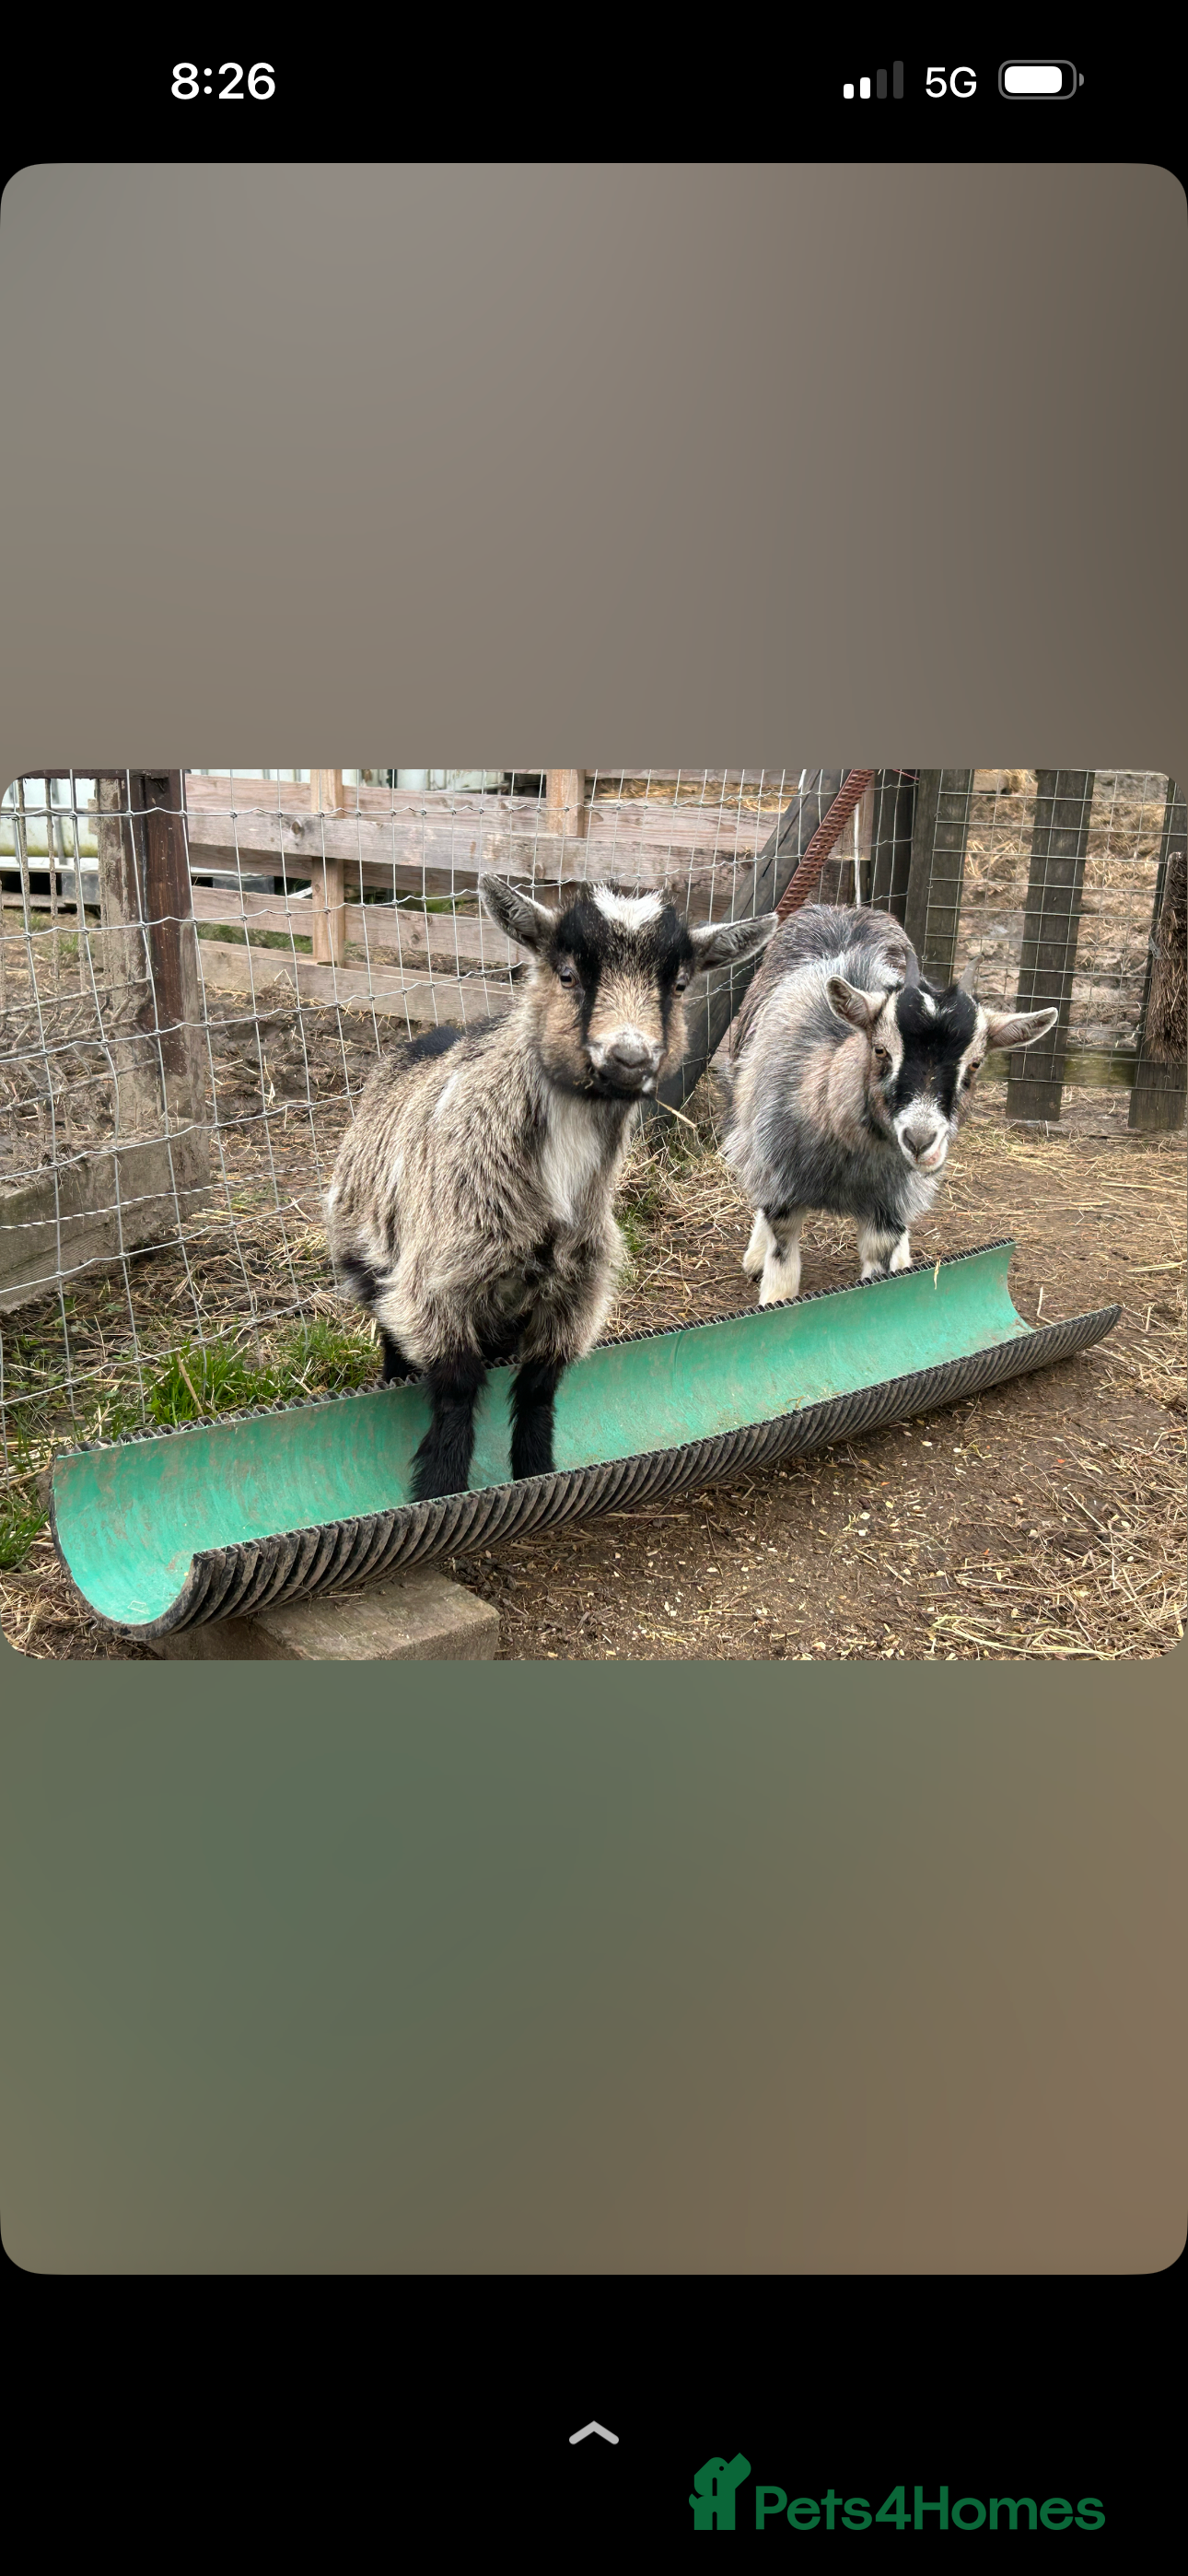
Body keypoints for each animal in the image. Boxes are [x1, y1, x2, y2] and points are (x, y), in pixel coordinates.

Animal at [326, 876, 778, 1501]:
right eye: (567, 974)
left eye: (680, 984)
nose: (629, 1057)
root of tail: (432, 1035)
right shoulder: (437, 1282)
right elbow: (456, 1391)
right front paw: (440, 1489)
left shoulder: (576, 1292)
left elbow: (540, 1389)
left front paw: (536, 1473)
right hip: (370, 1255)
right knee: (391, 1333)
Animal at [720, 903, 1059, 1306]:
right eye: (880, 1050)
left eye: (976, 1064)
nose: (920, 1140)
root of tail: (846, 910)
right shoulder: (779, 1178)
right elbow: (782, 1252)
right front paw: (773, 1297)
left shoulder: (890, 1205)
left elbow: (880, 1263)